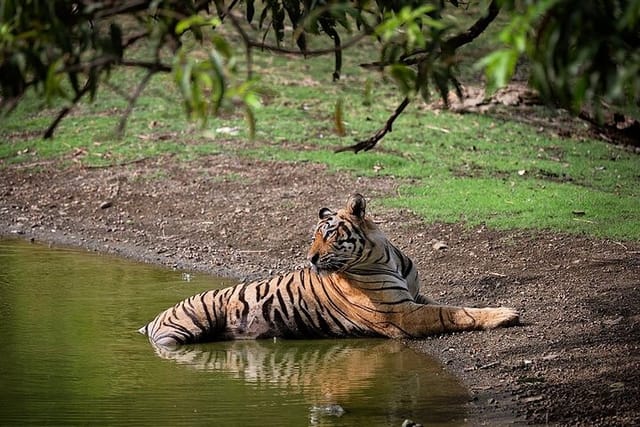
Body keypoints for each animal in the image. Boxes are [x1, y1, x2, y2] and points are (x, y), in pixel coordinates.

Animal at [140, 194, 520, 348]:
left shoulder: (413, 297)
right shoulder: (402, 313)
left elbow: (450, 303)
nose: (310, 258)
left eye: (328, 234)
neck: (384, 255)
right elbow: (452, 312)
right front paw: (506, 314)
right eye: (314, 236)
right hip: (182, 330)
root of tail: (154, 318)